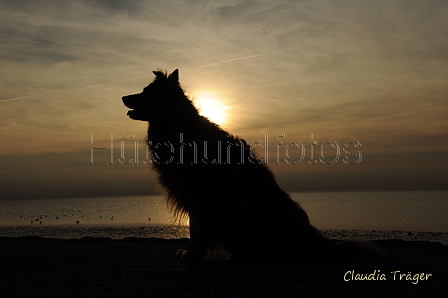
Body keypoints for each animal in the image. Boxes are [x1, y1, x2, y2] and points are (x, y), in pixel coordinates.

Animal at [123, 70, 384, 260]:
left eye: (145, 92)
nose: (123, 97)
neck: (177, 127)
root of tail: (314, 242)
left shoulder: (201, 198)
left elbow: (199, 231)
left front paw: (194, 255)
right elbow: (195, 230)